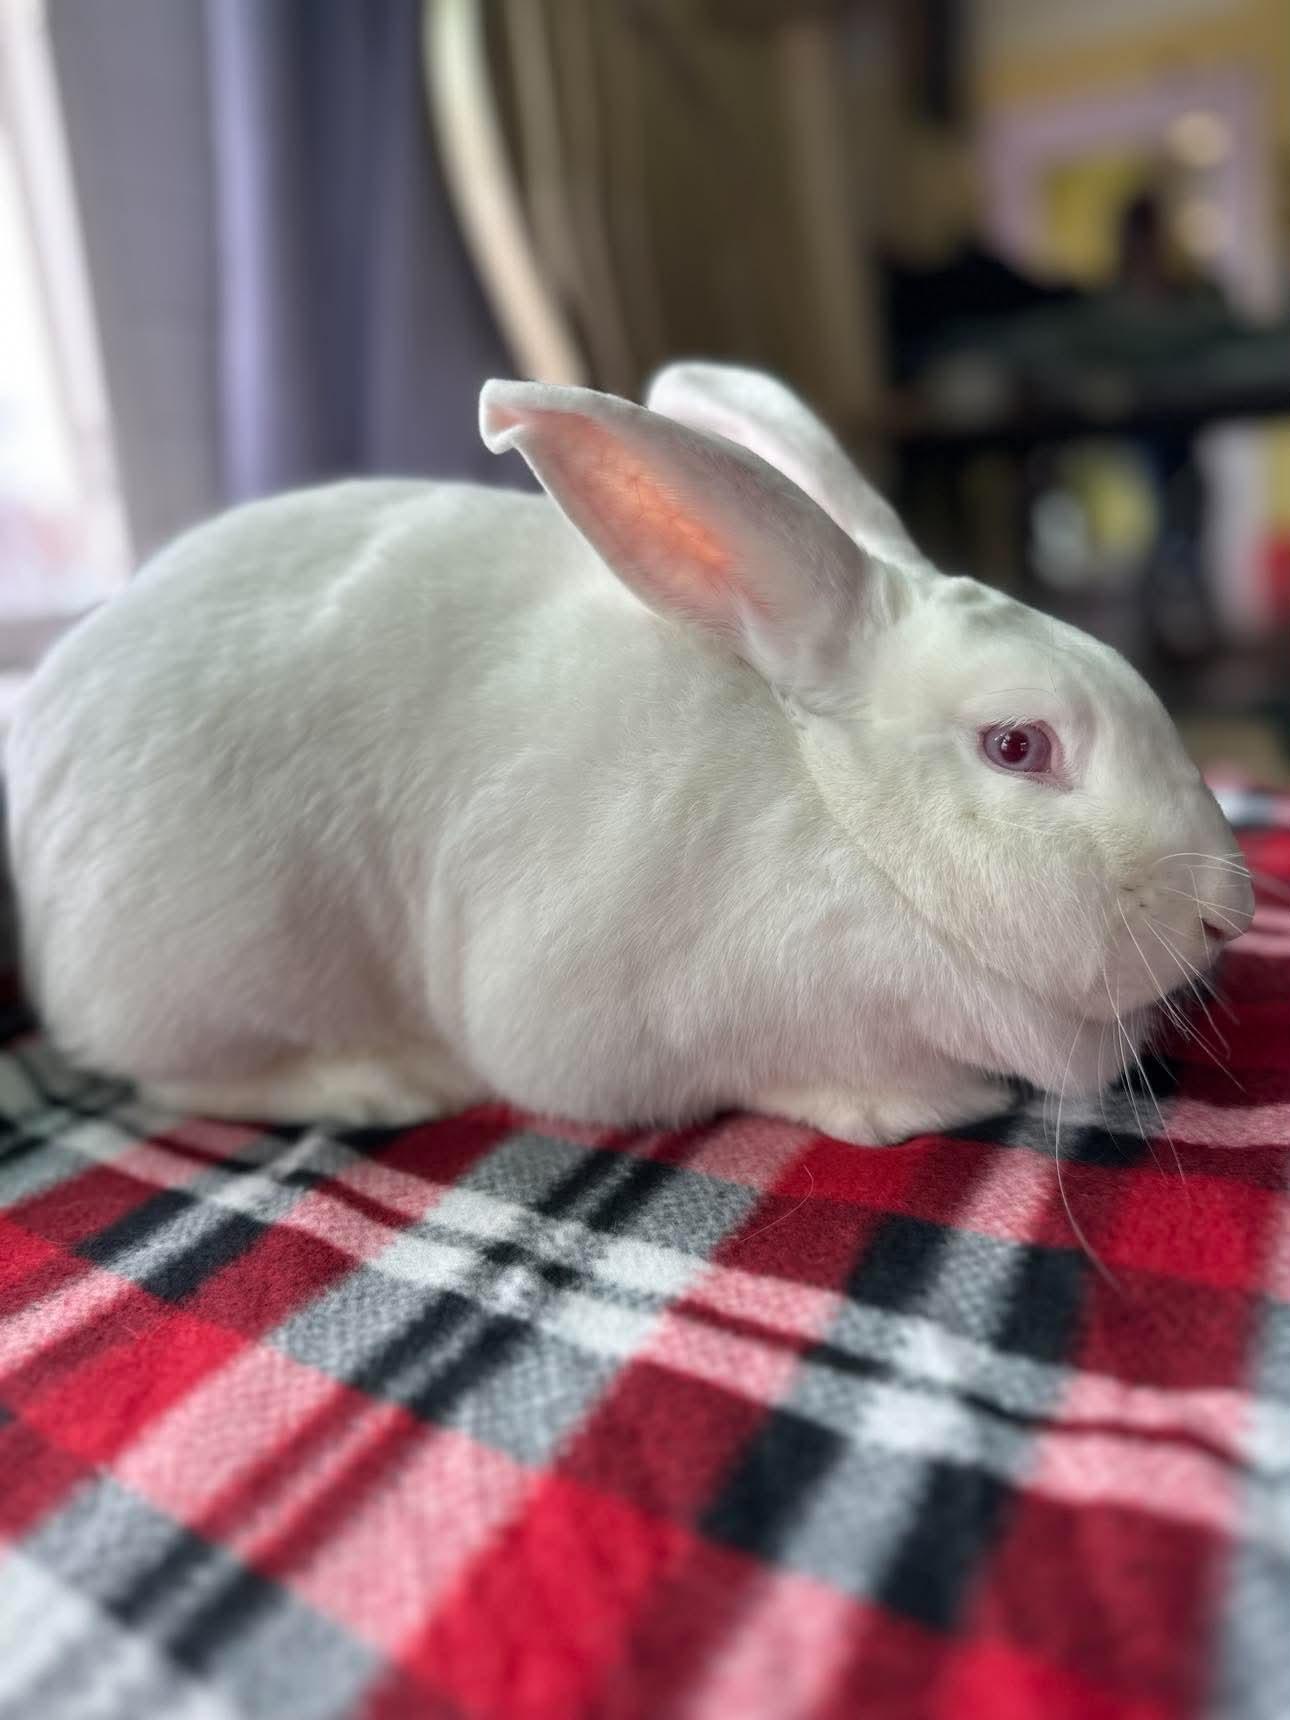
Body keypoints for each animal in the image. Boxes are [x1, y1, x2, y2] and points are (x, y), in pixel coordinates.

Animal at [3, 363, 1254, 1144]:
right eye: (1016, 745)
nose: (1232, 912)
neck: (844, 824)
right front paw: (901, 1106)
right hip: (211, 959)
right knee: (178, 1075)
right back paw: (375, 1081)